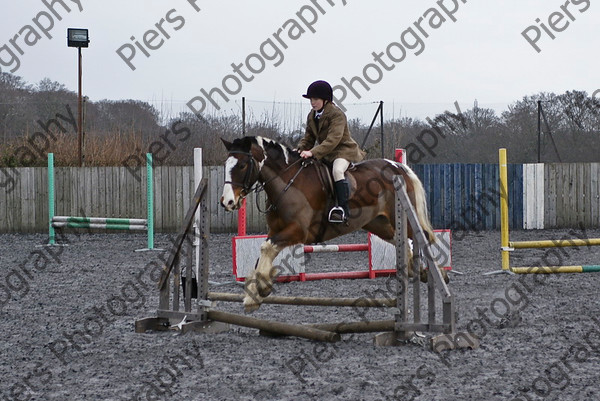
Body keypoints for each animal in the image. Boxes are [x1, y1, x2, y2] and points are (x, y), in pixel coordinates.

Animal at [220, 136, 446, 310]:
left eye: (242, 165)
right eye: (226, 165)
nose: (227, 202)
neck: (288, 182)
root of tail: (398, 167)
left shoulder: (298, 231)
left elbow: (266, 248)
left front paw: (260, 289)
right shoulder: (276, 230)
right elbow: (262, 252)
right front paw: (255, 294)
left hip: (403, 217)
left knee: (423, 238)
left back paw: (437, 273)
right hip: (379, 224)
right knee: (402, 241)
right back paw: (416, 270)